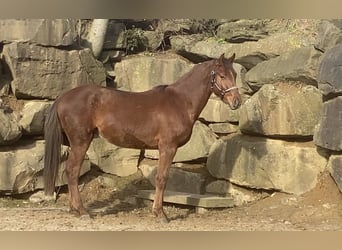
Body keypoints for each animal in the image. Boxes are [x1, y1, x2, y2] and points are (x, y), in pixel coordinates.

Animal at [43, 53, 240, 223]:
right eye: (222, 75)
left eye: (235, 75)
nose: (236, 102)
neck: (180, 102)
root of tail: (63, 97)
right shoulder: (168, 147)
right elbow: (162, 178)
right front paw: (160, 214)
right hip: (80, 141)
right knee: (72, 171)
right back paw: (82, 211)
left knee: (70, 171)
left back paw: (74, 210)